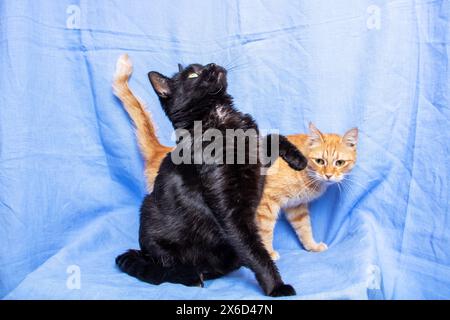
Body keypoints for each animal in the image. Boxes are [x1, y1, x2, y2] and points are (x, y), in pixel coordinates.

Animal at [116, 62, 308, 298]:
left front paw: (299, 159)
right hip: (150, 217)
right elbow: (255, 251)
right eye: (193, 74)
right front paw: (277, 287)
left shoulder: (257, 158)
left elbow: (272, 137)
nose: (212, 65)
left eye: (202, 66)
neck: (220, 117)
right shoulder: (229, 211)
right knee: (167, 270)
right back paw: (194, 276)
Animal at [256, 123, 358, 260]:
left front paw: (312, 246)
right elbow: (265, 230)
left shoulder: (296, 208)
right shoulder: (266, 203)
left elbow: (304, 228)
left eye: (340, 163)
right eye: (320, 161)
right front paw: (268, 252)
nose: (328, 175)